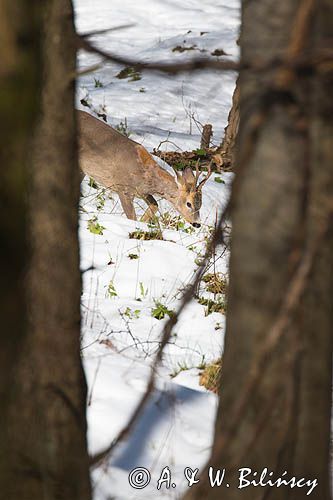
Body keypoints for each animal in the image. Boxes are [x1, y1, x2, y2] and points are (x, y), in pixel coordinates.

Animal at [78, 111, 210, 227]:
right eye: (189, 204)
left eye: (201, 204)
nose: (197, 224)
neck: (144, 174)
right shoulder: (123, 188)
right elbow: (132, 218)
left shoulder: (142, 192)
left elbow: (155, 205)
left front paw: (144, 222)